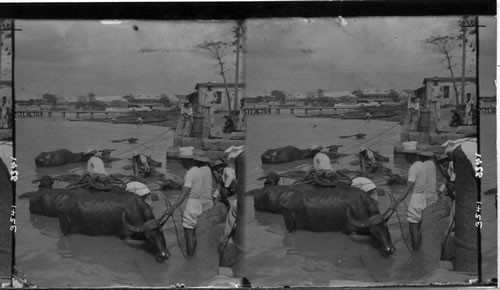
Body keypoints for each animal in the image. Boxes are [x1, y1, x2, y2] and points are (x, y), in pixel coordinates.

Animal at [252, 173, 396, 255]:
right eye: (373, 233)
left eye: (387, 229)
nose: (388, 250)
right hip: (291, 227)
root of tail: (286, 201)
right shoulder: (350, 231)